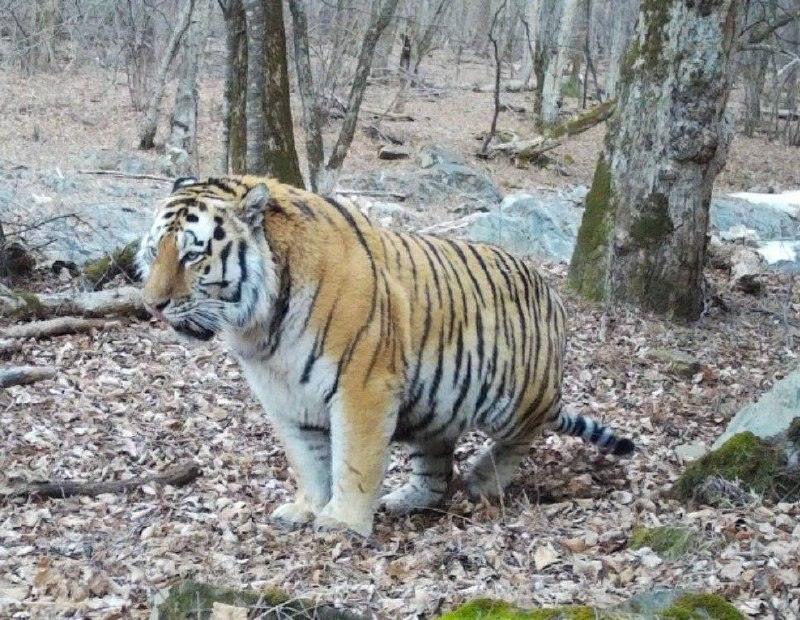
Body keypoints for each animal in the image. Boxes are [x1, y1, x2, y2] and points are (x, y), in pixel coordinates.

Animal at [138, 175, 634, 536]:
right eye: (154, 249)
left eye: (192, 256)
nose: (152, 305)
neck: (260, 327)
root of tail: (552, 295)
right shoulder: (284, 399)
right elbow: (307, 462)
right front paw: (306, 509)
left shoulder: (363, 386)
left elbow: (354, 460)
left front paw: (342, 523)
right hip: (438, 406)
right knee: (436, 469)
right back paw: (407, 499)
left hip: (513, 402)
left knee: (525, 434)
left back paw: (482, 480)